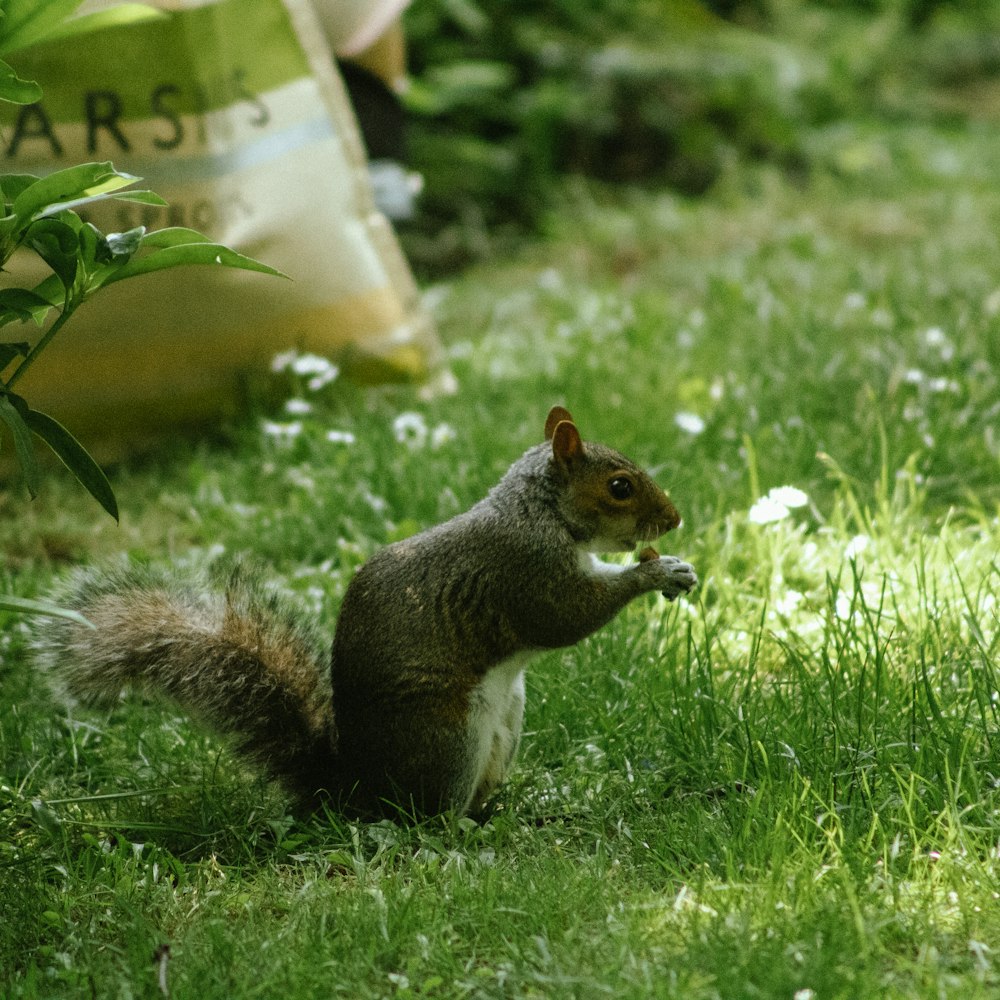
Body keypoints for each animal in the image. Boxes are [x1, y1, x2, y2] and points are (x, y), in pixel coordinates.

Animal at [33, 406, 696, 820]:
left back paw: (513, 806)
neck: (540, 511)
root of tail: (353, 791)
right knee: (424, 819)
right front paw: (657, 572)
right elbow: (568, 616)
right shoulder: (524, 573)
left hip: (507, 721)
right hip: (448, 736)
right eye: (619, 487)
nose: (675, 518)